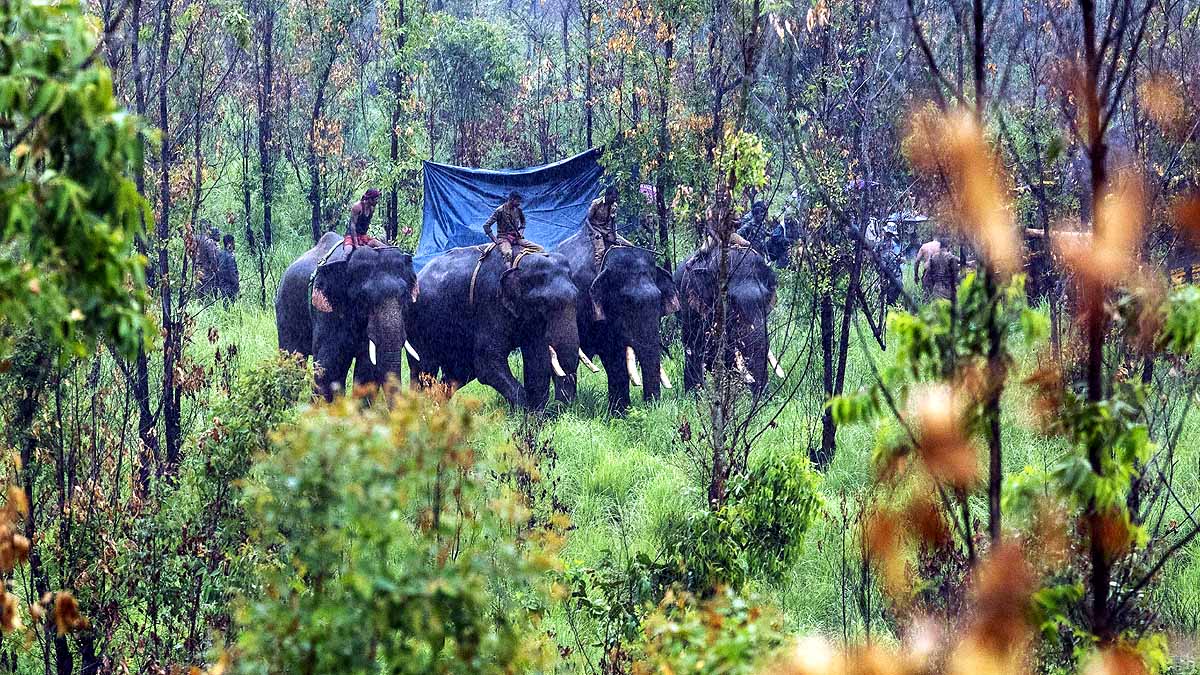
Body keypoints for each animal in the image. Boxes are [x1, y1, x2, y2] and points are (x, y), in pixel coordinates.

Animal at [276, 231, 420, 400]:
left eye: (404, 296)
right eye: (364, 298)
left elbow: (367, 369)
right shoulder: (327, 313)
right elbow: (329, 365)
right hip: (285, 307)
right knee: (293, 360)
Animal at [407, 245, 580, 411]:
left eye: (577, 297)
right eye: (543, 303)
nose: (562, 407)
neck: (520, 260)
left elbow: (536, 360)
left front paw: (536, 413)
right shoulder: (490, 302)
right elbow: (487, 362)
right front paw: (524, 410)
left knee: (458, 372)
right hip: (419, 326)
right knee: (423, 368)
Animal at [554, 230, 679, 413]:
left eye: (658, 301)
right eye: (627, 303)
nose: (651, 408)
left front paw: (621, 412)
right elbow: (613, 356)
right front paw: (621, 412)